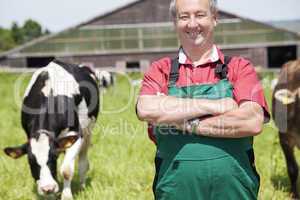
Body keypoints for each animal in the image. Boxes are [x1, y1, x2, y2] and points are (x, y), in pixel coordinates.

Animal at [3, 59, 99, 200]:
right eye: (31, 162)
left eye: (52, 158)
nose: (48, 188)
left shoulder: (75, 134)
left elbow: (66, 170)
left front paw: (66, 196)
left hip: (88, 130)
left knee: (83, 162)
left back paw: (82, 186)